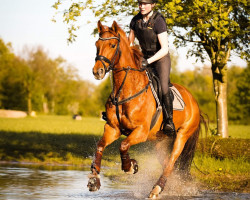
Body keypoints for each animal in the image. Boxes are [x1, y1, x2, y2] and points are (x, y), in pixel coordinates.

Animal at [88, 21, 205, 199]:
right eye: (96, 45)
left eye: (112, 45)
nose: (97, 72)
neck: (125, 91)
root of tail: (194, 101)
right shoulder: (112, 128)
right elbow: (100, 146)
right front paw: (94, 179)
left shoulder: (141, 131)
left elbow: (123, 145)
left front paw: (130, 166)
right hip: (159, 142)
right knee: (168, 165)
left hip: (182, 136)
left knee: (171, 162)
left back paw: (156, 189)